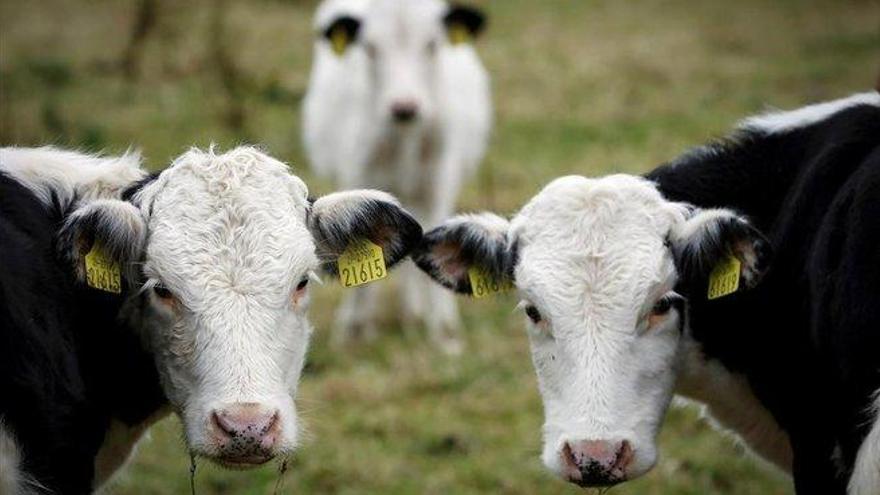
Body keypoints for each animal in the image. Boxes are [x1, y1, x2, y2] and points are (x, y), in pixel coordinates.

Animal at [302, 0, 492, 352]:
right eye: (370, 48)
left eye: (432, 45)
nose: (404, 107)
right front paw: (354, 331)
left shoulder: (438, 184)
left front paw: (443, 332)